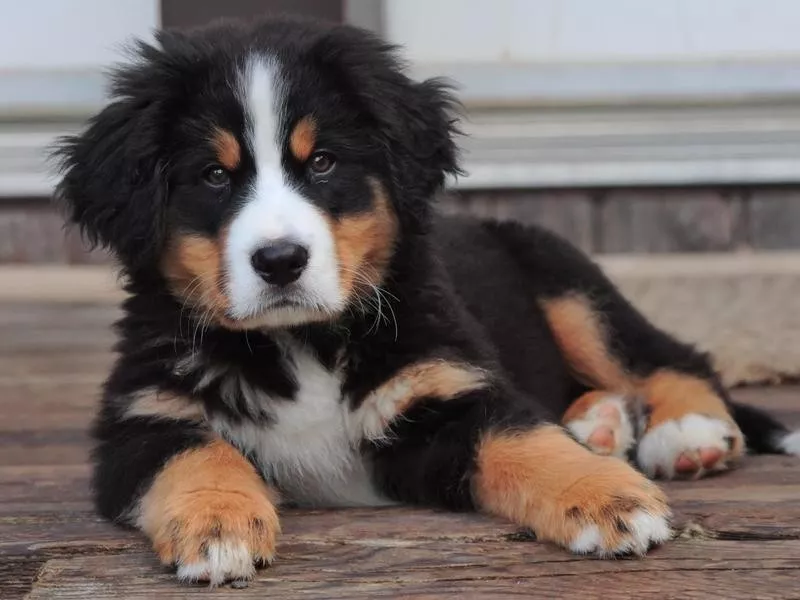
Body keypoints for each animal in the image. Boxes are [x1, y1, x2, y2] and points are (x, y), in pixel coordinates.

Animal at [53, 15, 796, 584]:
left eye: (322, 162)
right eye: (213, 176)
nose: (281, 261)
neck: (303, 341)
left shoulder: (444, 388)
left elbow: (524, 441)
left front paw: (605, 497)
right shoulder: (141, 417)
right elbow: (194, 455)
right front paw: (217, 525)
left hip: (569, 284)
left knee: (671, 357)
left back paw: (686, 434)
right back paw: (602, 424)